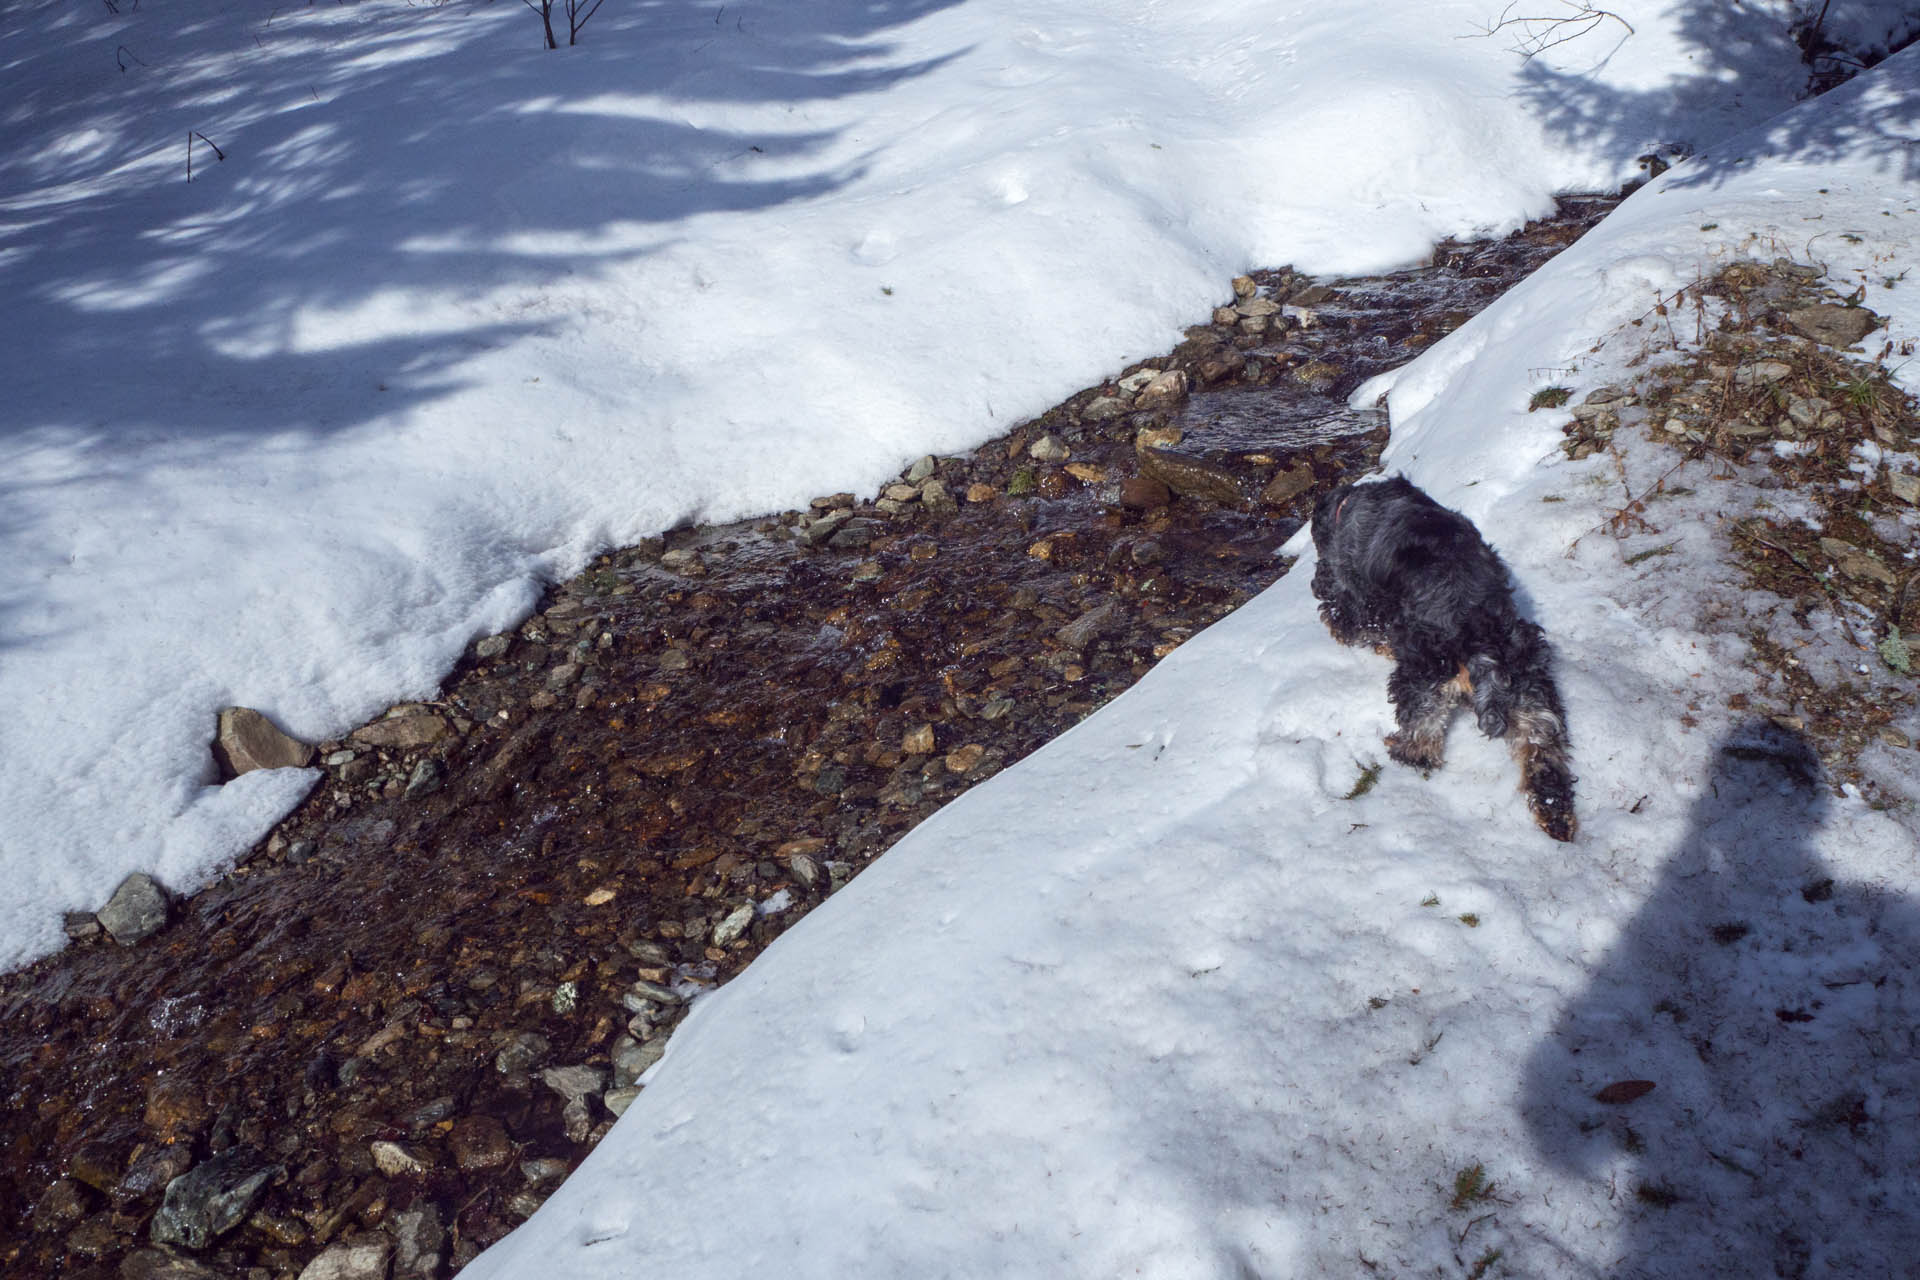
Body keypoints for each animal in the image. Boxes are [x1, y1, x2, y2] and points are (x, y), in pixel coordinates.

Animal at [1320, 475, 1574, 844]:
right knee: (1544, 757)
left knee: (1422, 744)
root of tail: (1480, 640)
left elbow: (1367, 625)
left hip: (1422, 684)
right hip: (1534, 698)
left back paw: (1399, 749)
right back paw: (1557, 819)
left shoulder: (1356, 592)